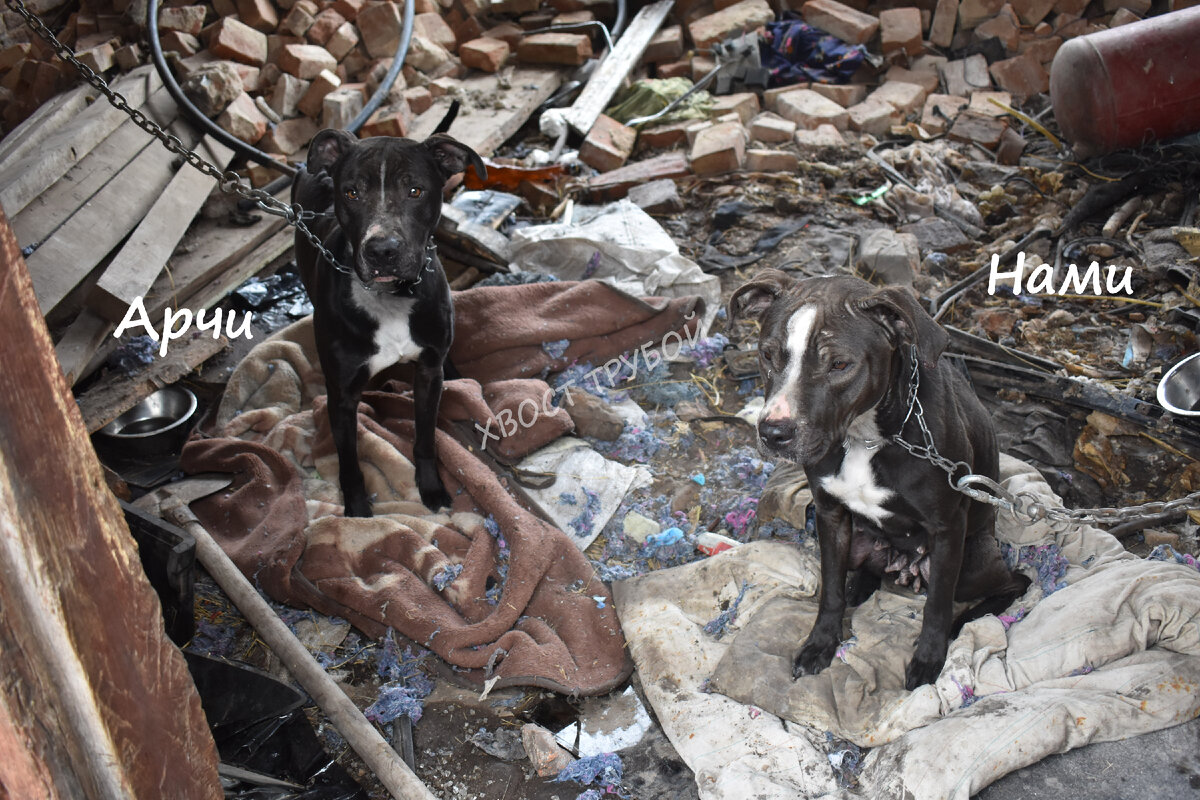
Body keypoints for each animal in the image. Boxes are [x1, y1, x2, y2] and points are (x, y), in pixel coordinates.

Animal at [292, 130, 484, 520]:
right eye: (351, 192)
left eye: (415, 190)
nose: (382, 250)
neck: (389, 296)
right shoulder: (342, 397)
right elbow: (349, 463)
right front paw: (357, 511)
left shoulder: (427, 373)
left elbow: (425, 439)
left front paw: (431, 489)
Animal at [729, 271, 1032, 690]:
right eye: (768, 355)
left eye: (840, 364)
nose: (774, 433)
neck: (865, 436)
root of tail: (904, 568)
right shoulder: (829, 515)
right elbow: (830, 590)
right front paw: (821, 642)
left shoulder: (947, 528)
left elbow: (937, 604)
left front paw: (929, 658)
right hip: (859, 541)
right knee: (862, 571)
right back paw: (860, 586)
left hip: (972, 563)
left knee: (1015, 582)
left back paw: (969, 618)